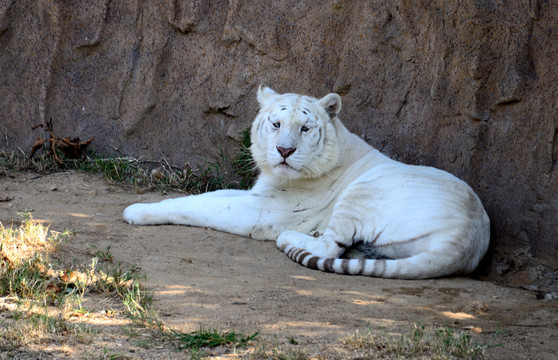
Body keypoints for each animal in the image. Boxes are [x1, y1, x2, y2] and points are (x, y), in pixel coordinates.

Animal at [124, 86, 492, 280]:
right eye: (276, 124)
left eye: (304, 128)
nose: (284, 150)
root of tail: (469, 236)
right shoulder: (257, 193)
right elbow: (212, 194)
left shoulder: (265, 211)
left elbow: (196, 204)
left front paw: (137, 211)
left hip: (365, 190)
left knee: (330, 246)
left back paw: (296, 238)